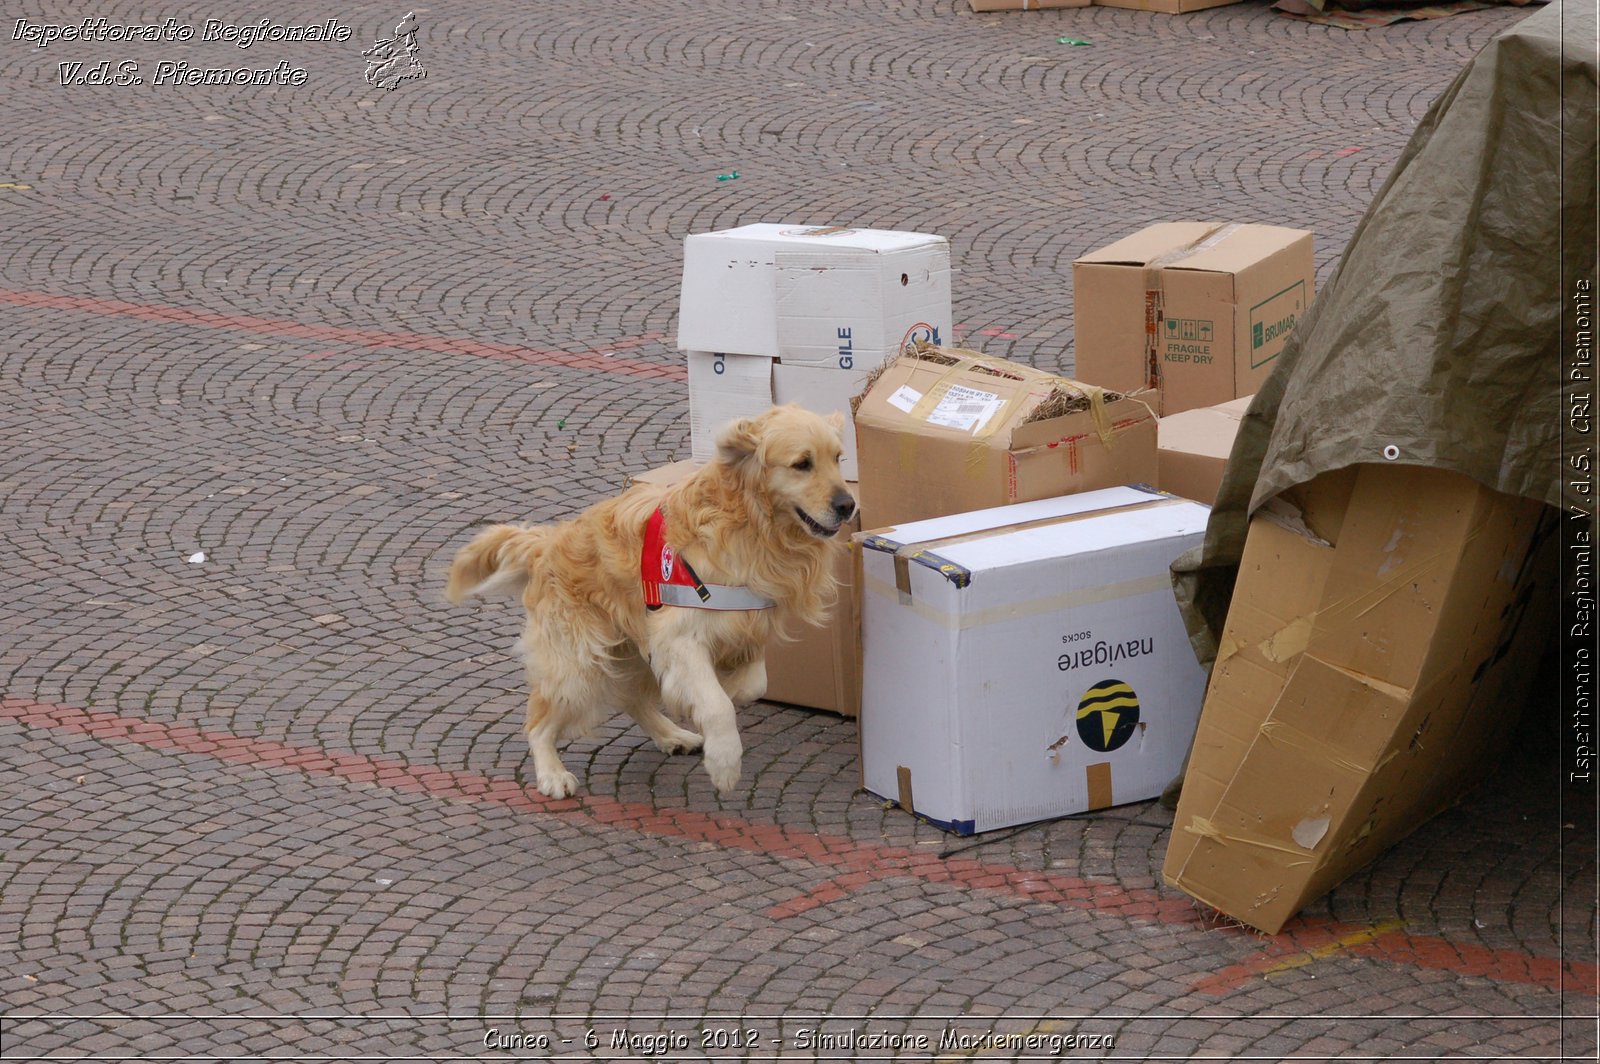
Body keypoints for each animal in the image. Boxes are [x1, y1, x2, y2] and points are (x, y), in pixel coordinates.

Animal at [444, 406, 857, 796]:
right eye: (802, 463)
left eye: (838, 458)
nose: (848, 505)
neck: (747, 524)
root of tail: (546, 543)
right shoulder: (678, 636)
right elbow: (718, 705)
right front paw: (724, 762)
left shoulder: (747, 626)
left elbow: (751, 685)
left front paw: (713, 698)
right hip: (581, 662)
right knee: (539, 719)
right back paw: (552, 774)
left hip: (630, 647)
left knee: (632, 698)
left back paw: (673, 734)